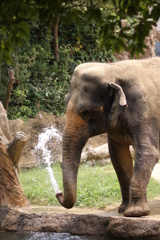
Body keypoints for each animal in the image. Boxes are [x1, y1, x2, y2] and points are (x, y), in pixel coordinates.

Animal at [56, 57, 160, 218]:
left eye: (87, 112)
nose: (58, 193)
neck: (112, 69)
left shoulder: (146, 113)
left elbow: (148, 153)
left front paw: (135, 213)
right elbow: (118, 158)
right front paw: (123, 209)